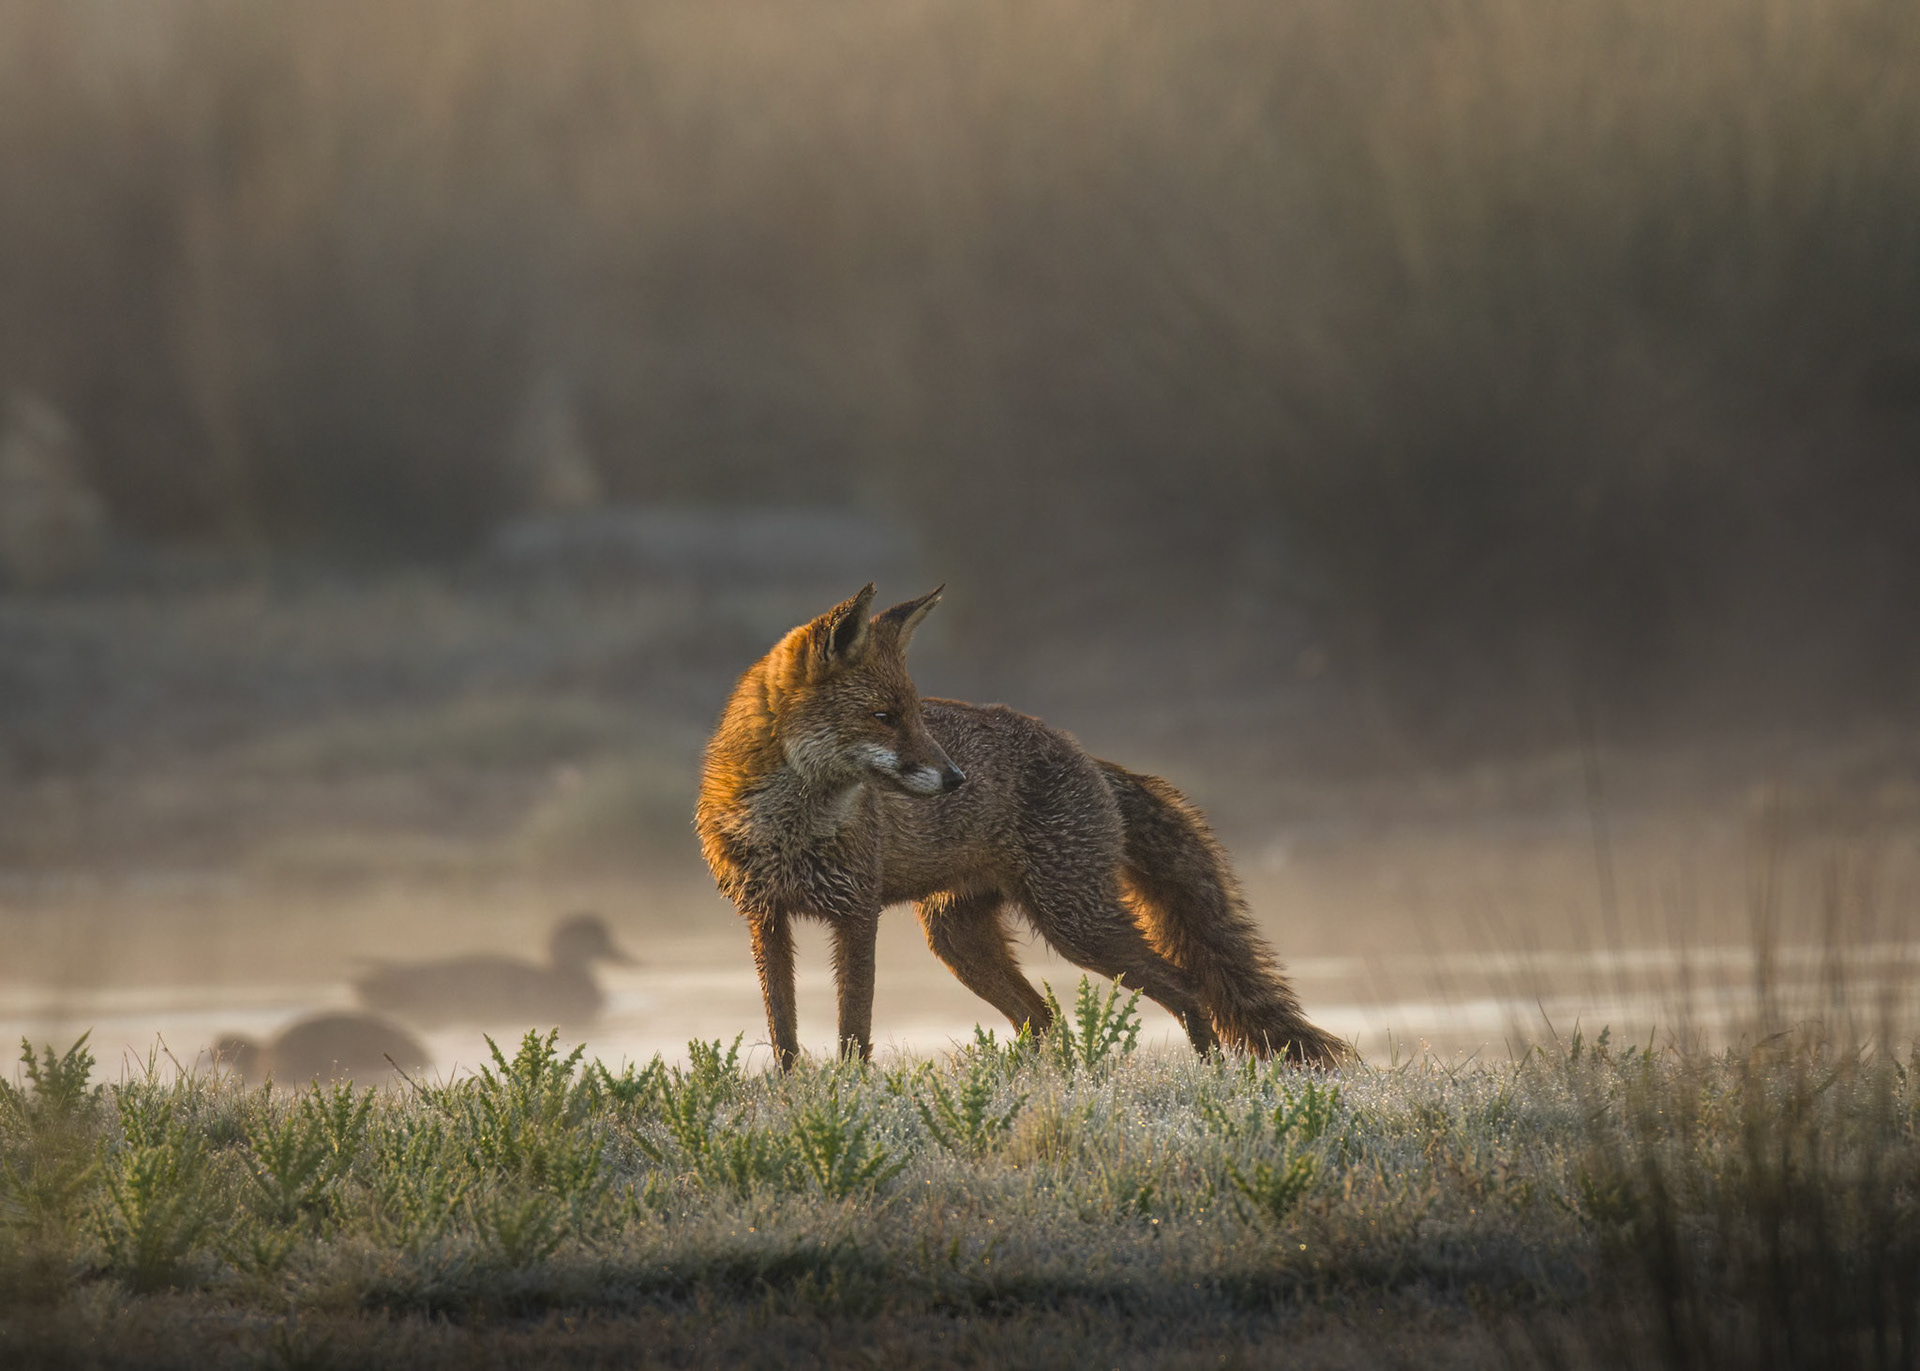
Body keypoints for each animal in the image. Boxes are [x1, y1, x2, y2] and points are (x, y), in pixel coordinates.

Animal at [694, 584, 1348, 1071]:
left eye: (915, 714)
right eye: (883, 716)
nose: (955, 779)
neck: (789, 829)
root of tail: (1087, 755)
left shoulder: (855, 913)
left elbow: (854, 1033)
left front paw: (848, 1099)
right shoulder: (764, 916)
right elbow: (784, 1036)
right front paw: (795, 1099)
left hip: (1075, 924)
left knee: (1186, 989)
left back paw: (1211, 1080)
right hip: (961, 941)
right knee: (1043, 1019)